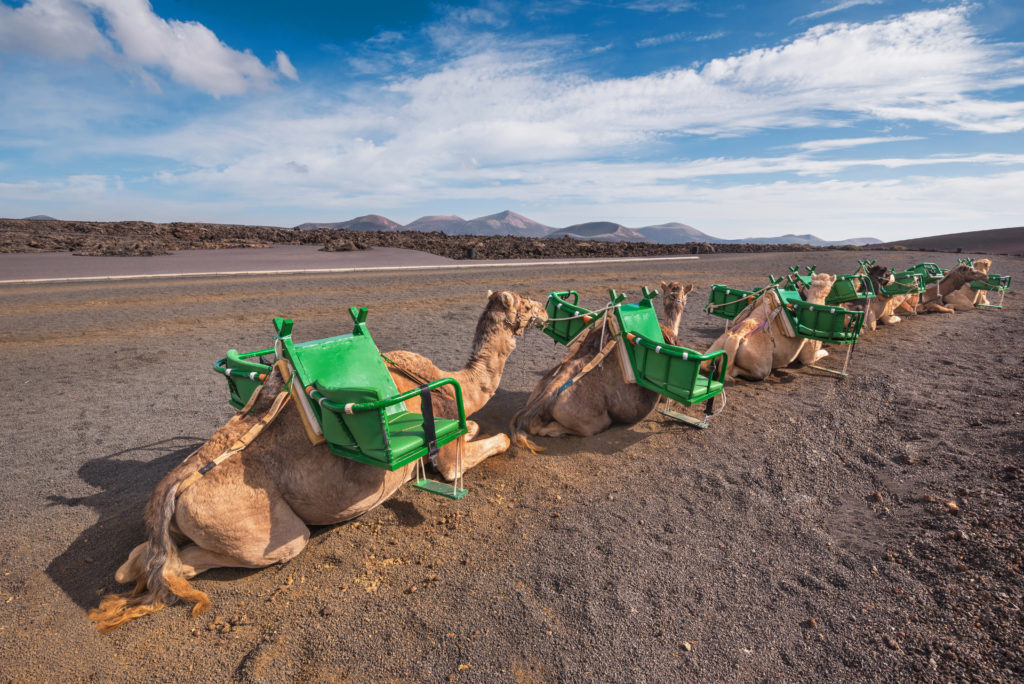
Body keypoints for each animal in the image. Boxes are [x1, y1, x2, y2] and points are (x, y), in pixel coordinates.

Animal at [91, 286, 548, 630]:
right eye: (525, 303)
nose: (545, 310)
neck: (455, 381)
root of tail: (173, 489)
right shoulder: (447, 448)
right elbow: (487, 444)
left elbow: (474, 429)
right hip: (262, 531)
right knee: (187, 565)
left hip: (181, 521)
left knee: (137, 561)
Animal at [704, 270, 839, 378]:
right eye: (832, 287)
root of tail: (736, 338)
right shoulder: (808, 355)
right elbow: (815, 356)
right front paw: (826, 351)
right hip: (761, 367)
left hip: (716, 348)